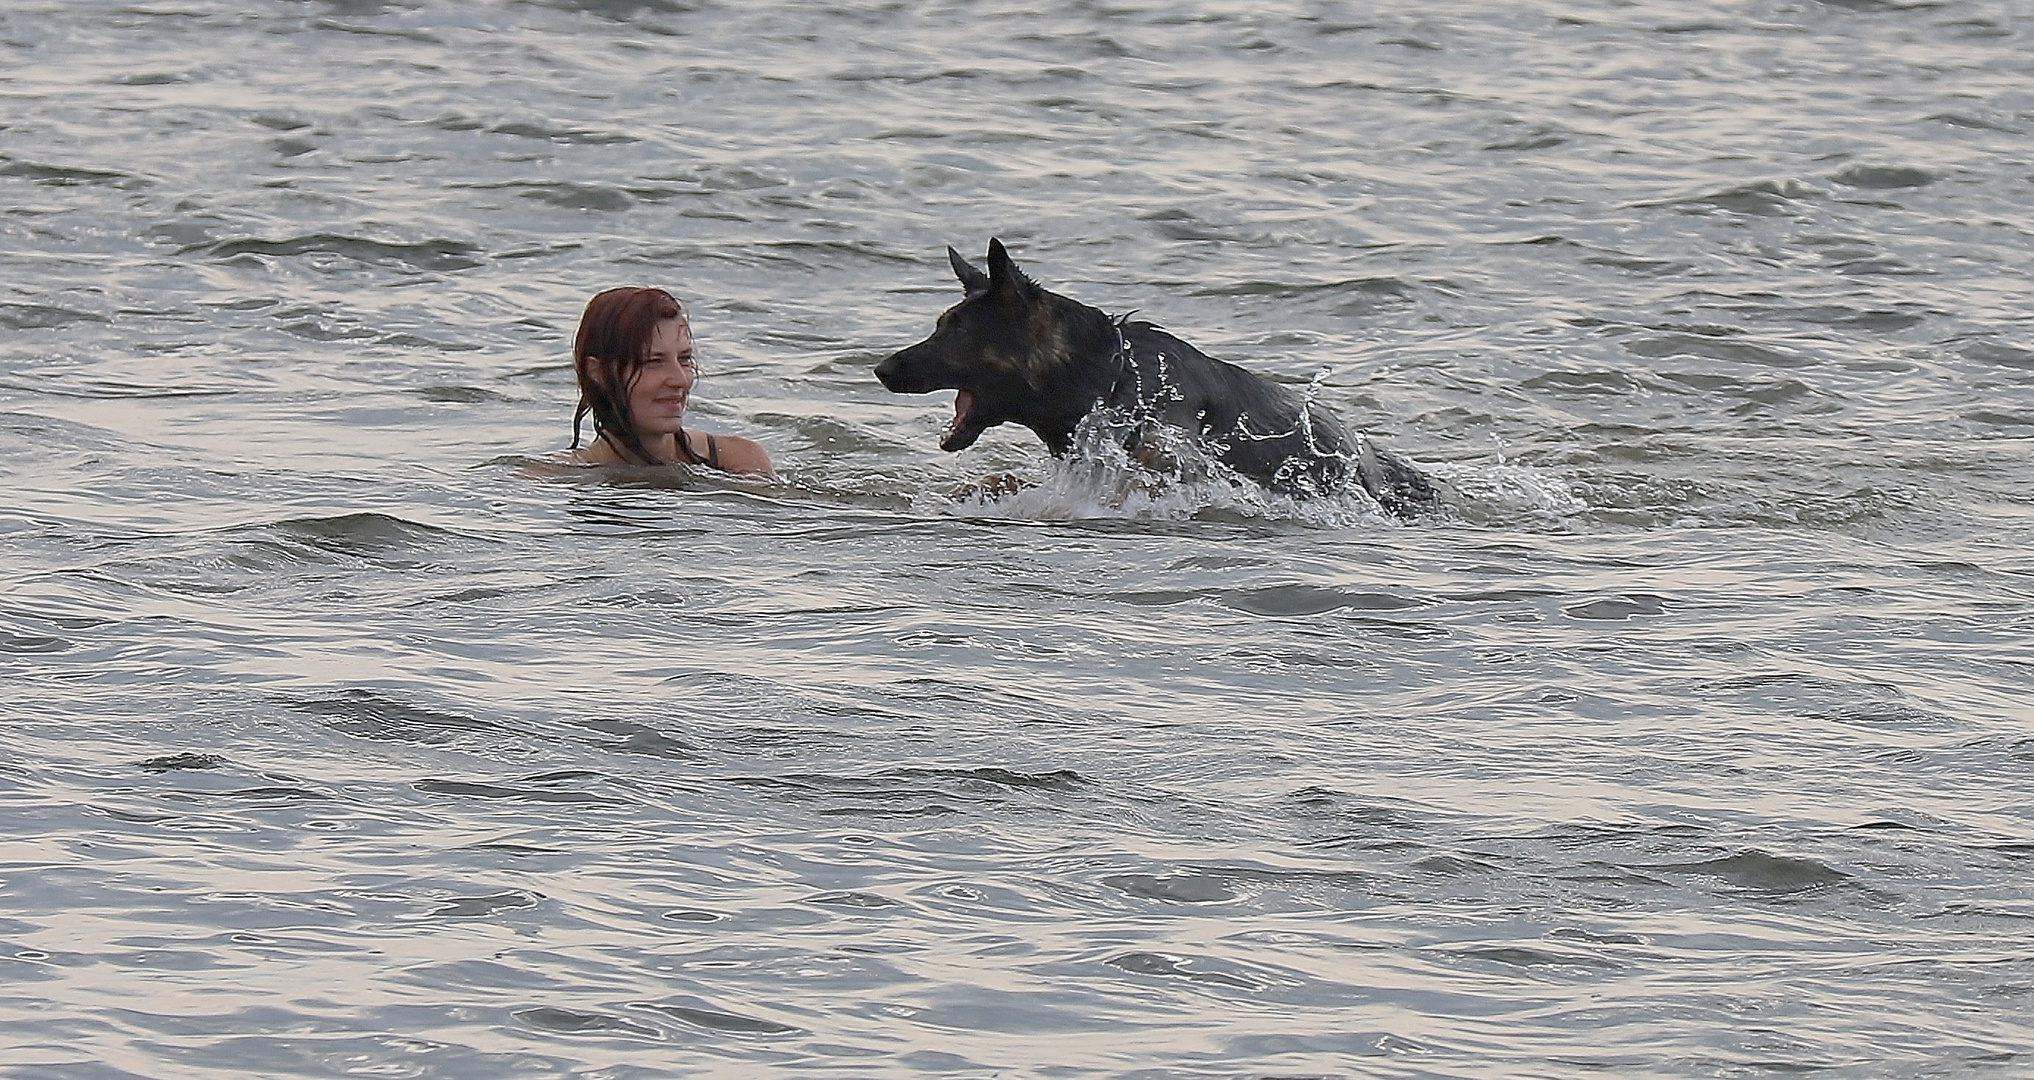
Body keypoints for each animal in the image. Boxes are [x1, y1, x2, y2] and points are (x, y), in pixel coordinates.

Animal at [870, 241, 1431, 520]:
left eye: (955, 332)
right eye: (940, 324)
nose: (881, 369)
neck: (1110, 379)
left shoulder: (1169, 465)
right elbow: (996, 482)